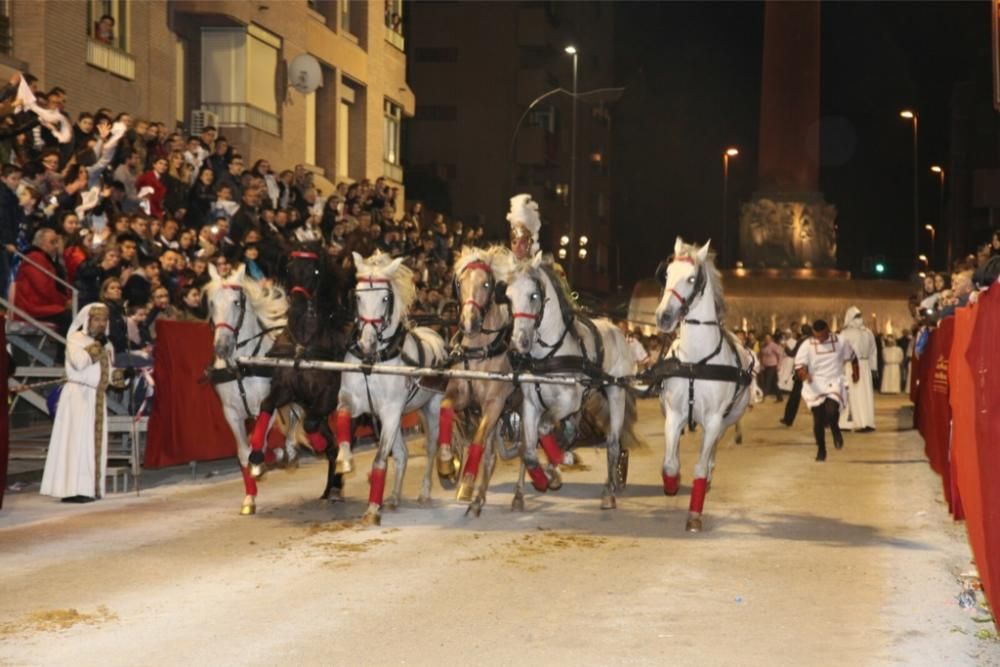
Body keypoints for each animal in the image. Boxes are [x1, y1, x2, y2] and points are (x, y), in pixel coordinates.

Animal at [247, 243, 354, 498]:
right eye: (289, 268)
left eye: (315, 272)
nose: (295, 307)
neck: (304, 345)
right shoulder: (287, 390)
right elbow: (267, 404)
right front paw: (256, 457)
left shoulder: (327, 397)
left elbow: (311, 425)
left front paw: (318, 446)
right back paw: (330, 487)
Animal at [336, 250, 446, 528]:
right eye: (358, 296)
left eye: (385, 298)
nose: (367, 343)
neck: (375, 362)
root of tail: (434, 334)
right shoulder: (355, 401)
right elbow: (342, 415)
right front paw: (344, 460)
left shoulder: (391, 411)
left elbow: (379, 460)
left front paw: (372, 509)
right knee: (402, 454)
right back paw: (394, 497)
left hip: (430, 407)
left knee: (430, 447)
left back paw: (425, 492)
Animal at [508, 253, 632, 508]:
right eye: (508, 296)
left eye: (534, 296)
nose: (518, 343)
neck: (549, 355)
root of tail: (615, 328)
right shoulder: (531, 404)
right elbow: (528, 449)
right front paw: (537, 481)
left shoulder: (567, 401)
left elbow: (544, 428)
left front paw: (562, 461)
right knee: (571, 432)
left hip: (615, 391)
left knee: (613, 443)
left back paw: (609, 491)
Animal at [652, 239, 752, 532]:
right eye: (667, 273)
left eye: (691, 278)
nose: (663, 317)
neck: (696, 363)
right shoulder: (674, 414)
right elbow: (670, 463)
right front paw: (671, 483)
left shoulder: (715, 419)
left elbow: (700, 465)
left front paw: (694, 515)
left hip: (725, 422)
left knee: (711, 454)